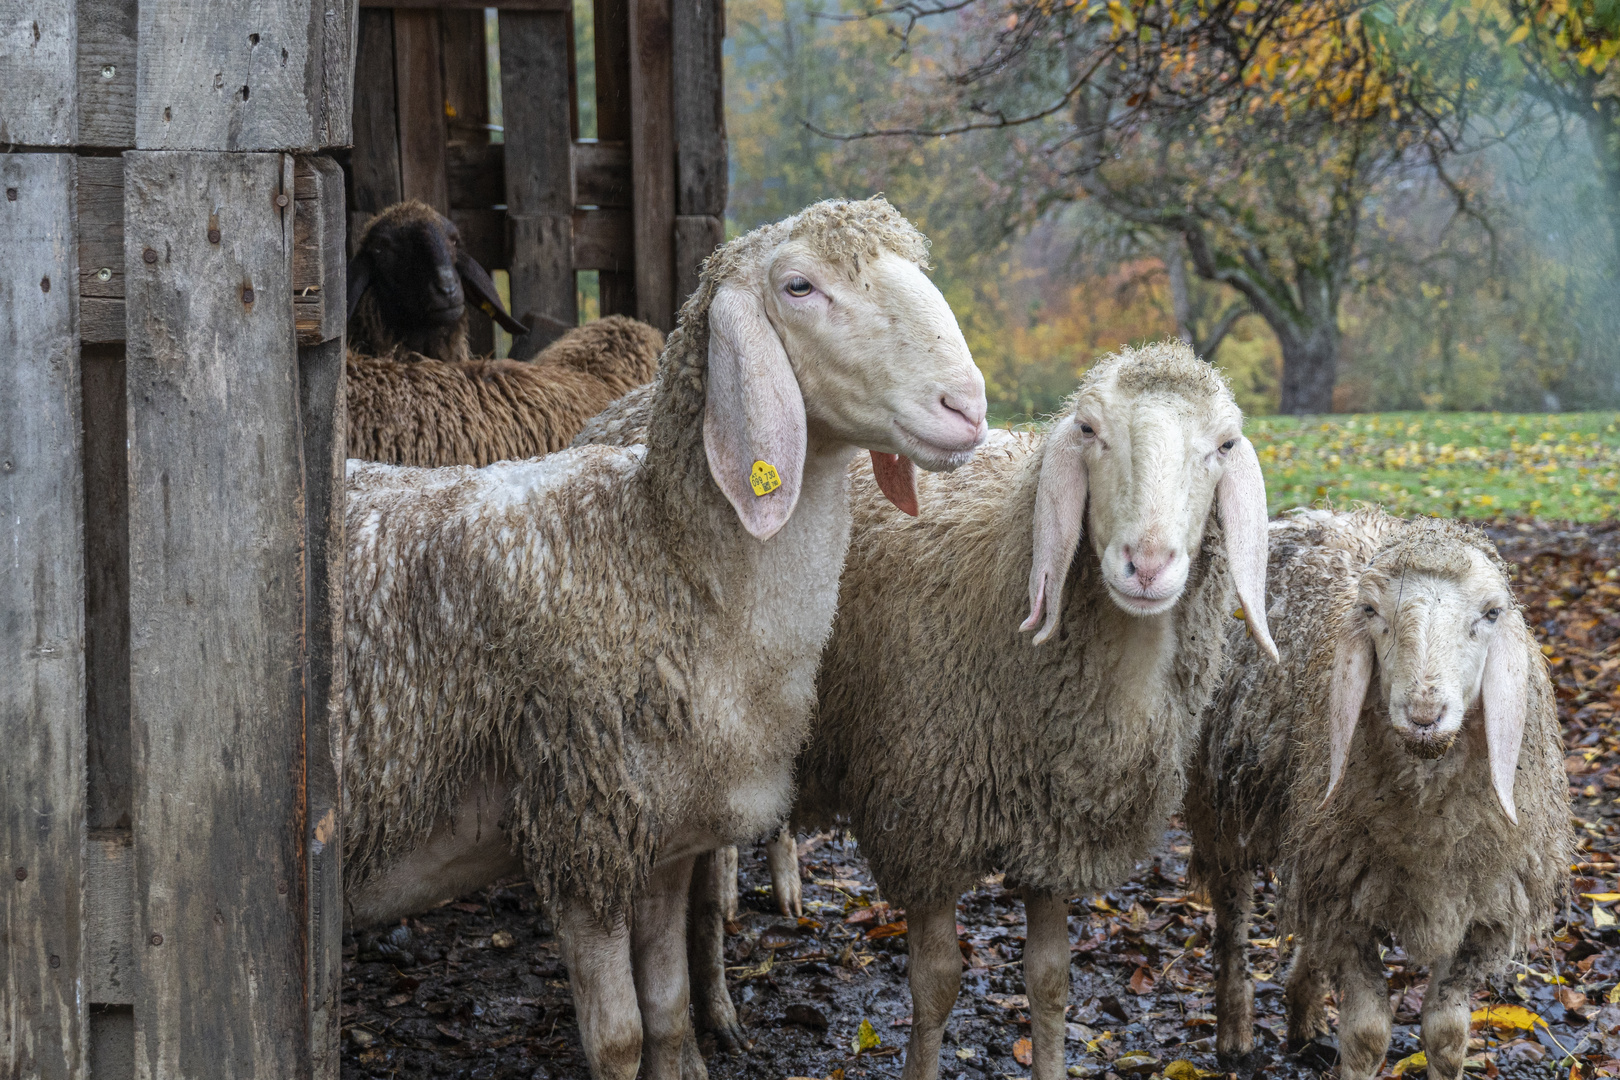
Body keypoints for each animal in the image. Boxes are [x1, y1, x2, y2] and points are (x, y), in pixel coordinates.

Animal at [764, 344, 1270, 1080]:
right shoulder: (924, 823)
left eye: (1224, 445)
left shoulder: (1053, 832)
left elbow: (1050, 981)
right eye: (1088, 430)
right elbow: (936, 984)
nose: (1146, 564)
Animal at [1185, 511, 1574, 1080]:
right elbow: (1367, 1033)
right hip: (1220, 807)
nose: (1424, 714)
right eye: (1370, 611)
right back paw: (1234, 1035)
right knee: (1232, 918)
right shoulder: (1345, 905)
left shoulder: (1481, 909)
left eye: (1491, 613)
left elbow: (1447, 1033)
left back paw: (1304, 1016)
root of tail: (1313, 513)